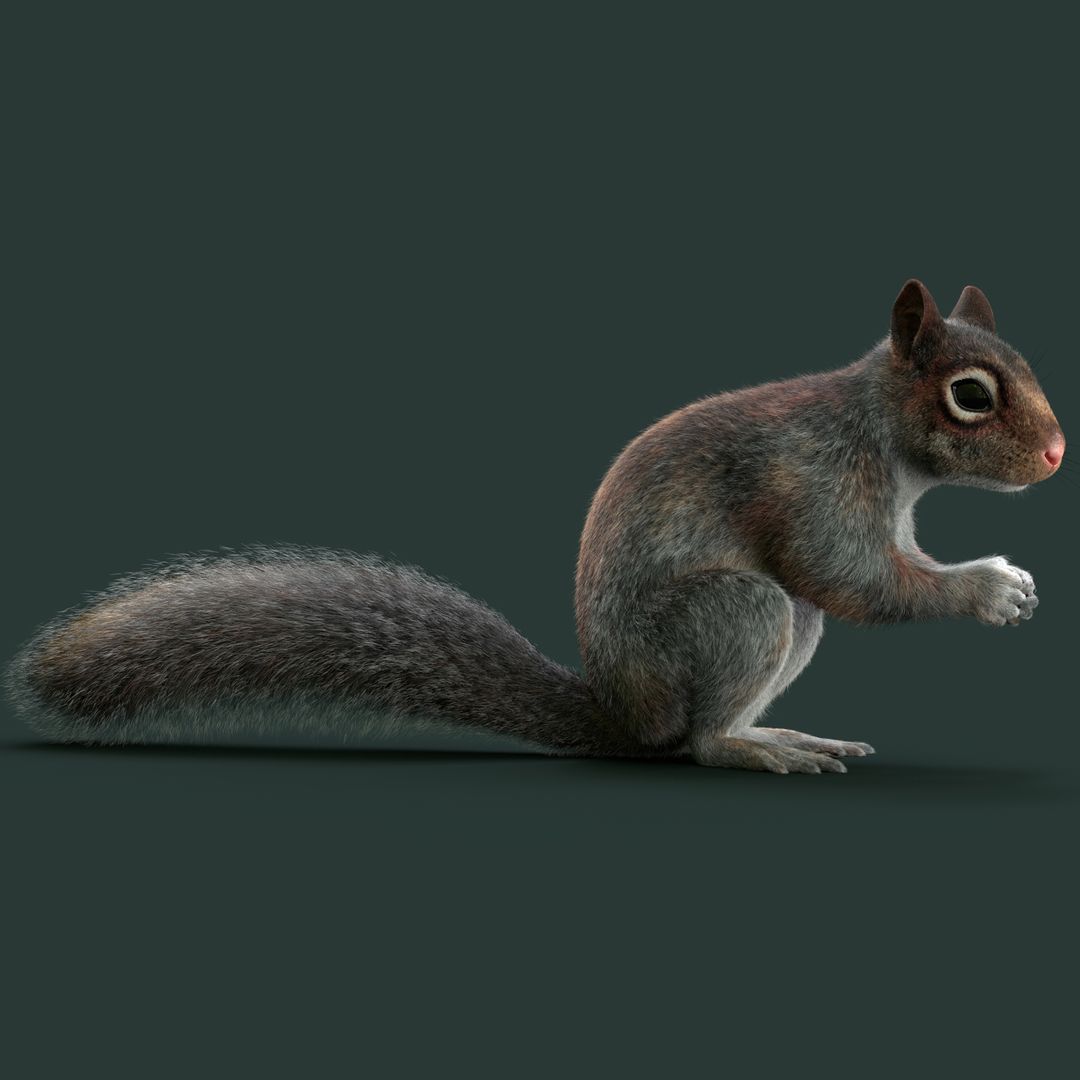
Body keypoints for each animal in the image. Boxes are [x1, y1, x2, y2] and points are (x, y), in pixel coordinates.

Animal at [8, 280, 1065, 773]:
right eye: (971, 395)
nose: (1059, 455)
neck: (877, 430)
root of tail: (625, 714)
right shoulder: (813, 480)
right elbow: (849, 574)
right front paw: (993, 587)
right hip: (735, 614)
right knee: (703, 735)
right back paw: (754, 744)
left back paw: (780, 728)